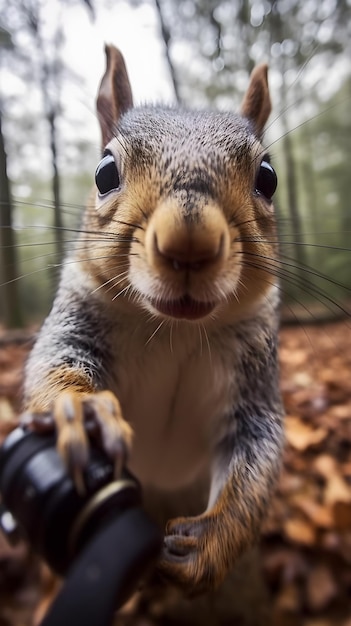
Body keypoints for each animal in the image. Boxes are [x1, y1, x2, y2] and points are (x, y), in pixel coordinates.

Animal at [22, 45, 286, 596]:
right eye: (104, 173)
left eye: (268, 178)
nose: (190, 243)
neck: (176, 329)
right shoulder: (77, 321)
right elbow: (54, 364)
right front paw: (83, 412)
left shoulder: (254, 374)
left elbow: (258, 451)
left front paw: (210, 542)